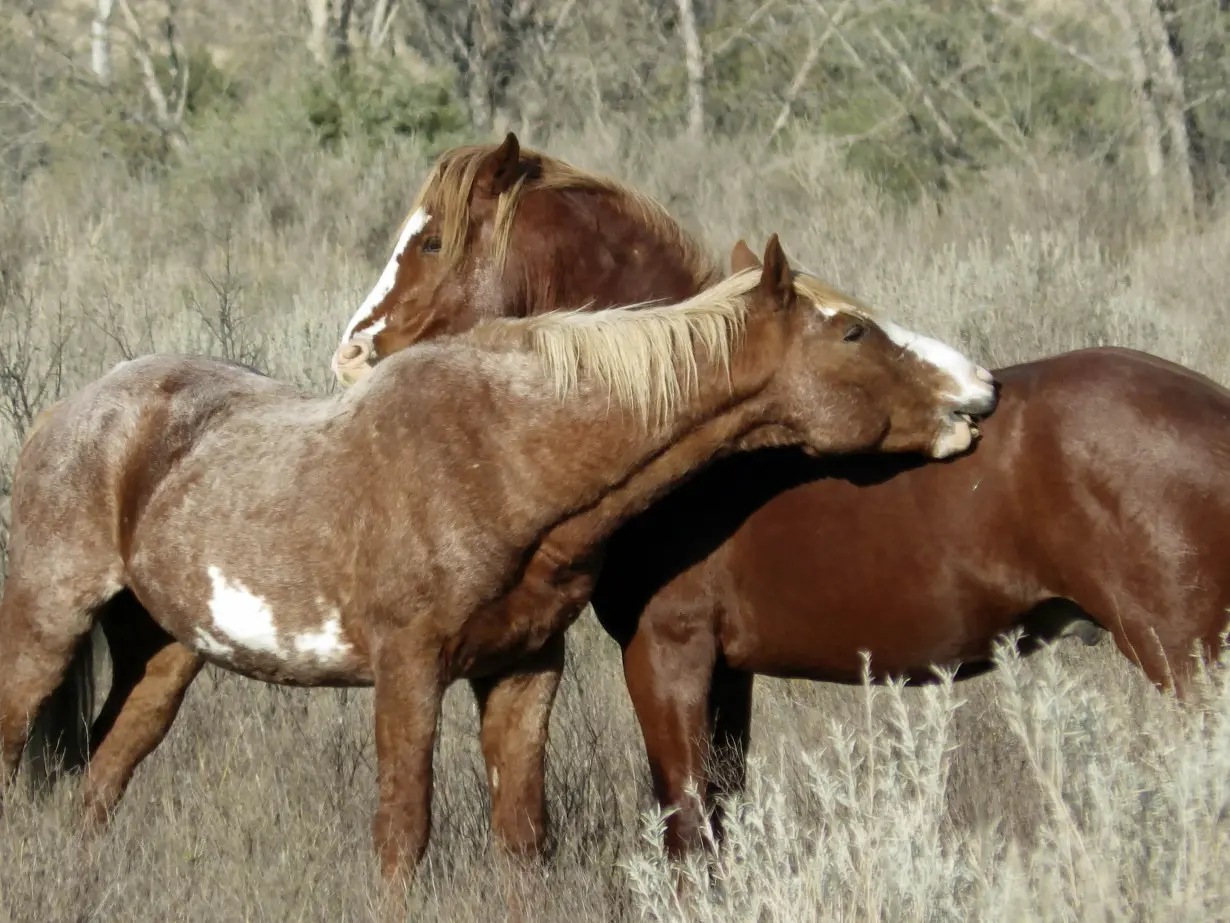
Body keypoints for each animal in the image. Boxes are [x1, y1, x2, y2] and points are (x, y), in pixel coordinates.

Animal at [0, 238, 998, 881]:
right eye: (853, 333)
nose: (981, 391)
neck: (503, 452)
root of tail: (70, 411)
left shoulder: (523, 669)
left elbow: (522, 834)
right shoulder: (409, 671)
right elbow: (404, 834)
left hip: (165, 654)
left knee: (102, 775)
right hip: (46, 629)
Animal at [324, 131, 1230, 861]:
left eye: (431, 241)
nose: (351, 356)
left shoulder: (667, 654)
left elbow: (688, 830)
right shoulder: (729, 673)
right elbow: (722, 815)